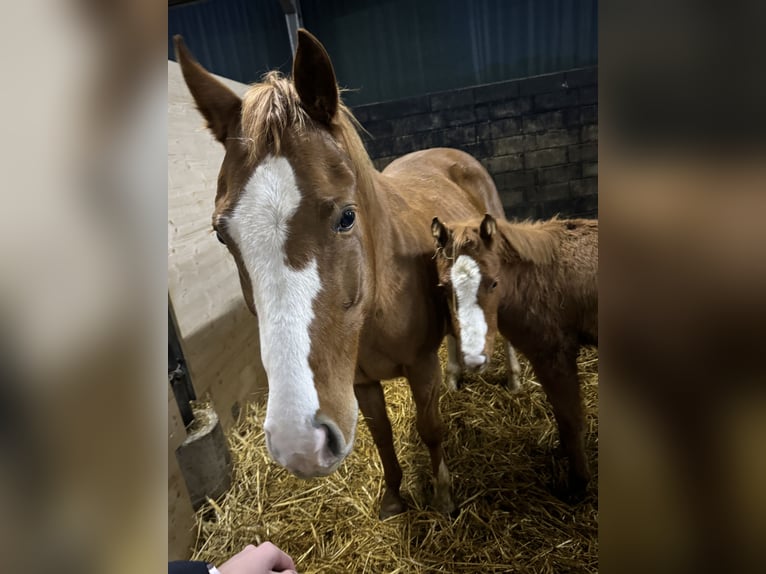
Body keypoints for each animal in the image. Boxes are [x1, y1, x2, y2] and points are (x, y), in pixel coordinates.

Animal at [176, 29, 508, 520]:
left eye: (347, 217)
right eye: (221, 234)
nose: (299, 443)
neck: (378, 299)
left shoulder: (419, 365)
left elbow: (430, 427)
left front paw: (444, 495)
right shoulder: (360, 382)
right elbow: (382, 435)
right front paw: (394, 498)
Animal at [432, 214, 600, 498]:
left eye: (494, 282)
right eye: (444, 288)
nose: (474, 359)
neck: (533, 278)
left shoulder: (554, 355)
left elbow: (571, 420)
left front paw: (576, 487)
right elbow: (560, 414)